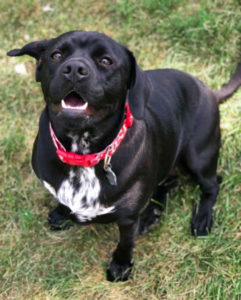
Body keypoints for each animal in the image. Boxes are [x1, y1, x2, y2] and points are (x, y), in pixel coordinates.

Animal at [7, 31, 241, 282]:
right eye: (57, 55)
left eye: (106, 61)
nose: (74, 68)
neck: (82, 154)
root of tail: (209, 91)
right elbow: (60, 199)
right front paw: (61, 214)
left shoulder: (127, 219)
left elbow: (125, 243)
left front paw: (120, 266)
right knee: (170, 181)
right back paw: (150, 215)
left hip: (199, 157)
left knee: (212, 185)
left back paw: (201, 218)